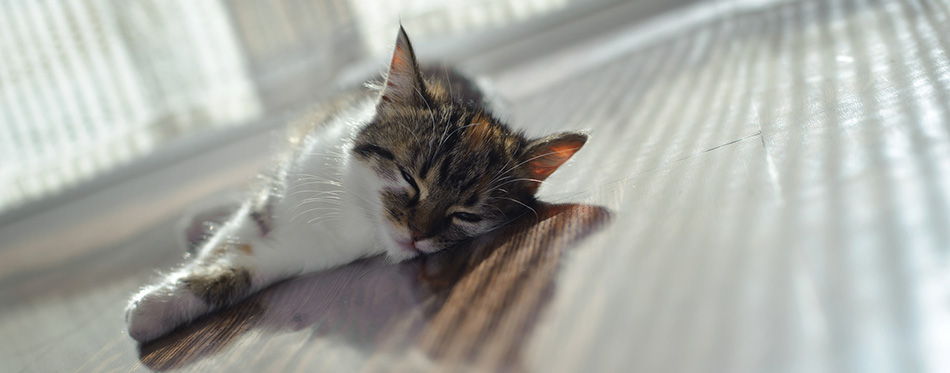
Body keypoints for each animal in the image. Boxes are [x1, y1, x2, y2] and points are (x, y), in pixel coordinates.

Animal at [126, 26, 588, 342]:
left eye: (466, 215)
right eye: (409, 178)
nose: (416, 236)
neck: (356, 211)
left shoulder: (296, 255)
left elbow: (238, 271)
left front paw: (151, 311)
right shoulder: (276, 196)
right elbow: (225, 243)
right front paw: (165, 292)